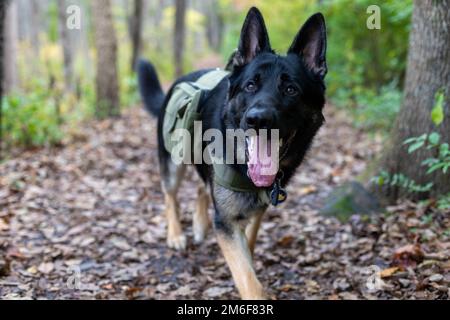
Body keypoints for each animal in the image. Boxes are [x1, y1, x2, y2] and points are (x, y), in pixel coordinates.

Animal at [137, 7, 326, 298]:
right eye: (250, 86)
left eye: (291, 89)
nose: (258, 119)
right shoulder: (226, 222)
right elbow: (248, 278)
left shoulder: (256, 208)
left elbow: (249, 242)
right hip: (173, 162)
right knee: (170, 196)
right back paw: (176, 235)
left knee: (203, 186)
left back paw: (199, 223)